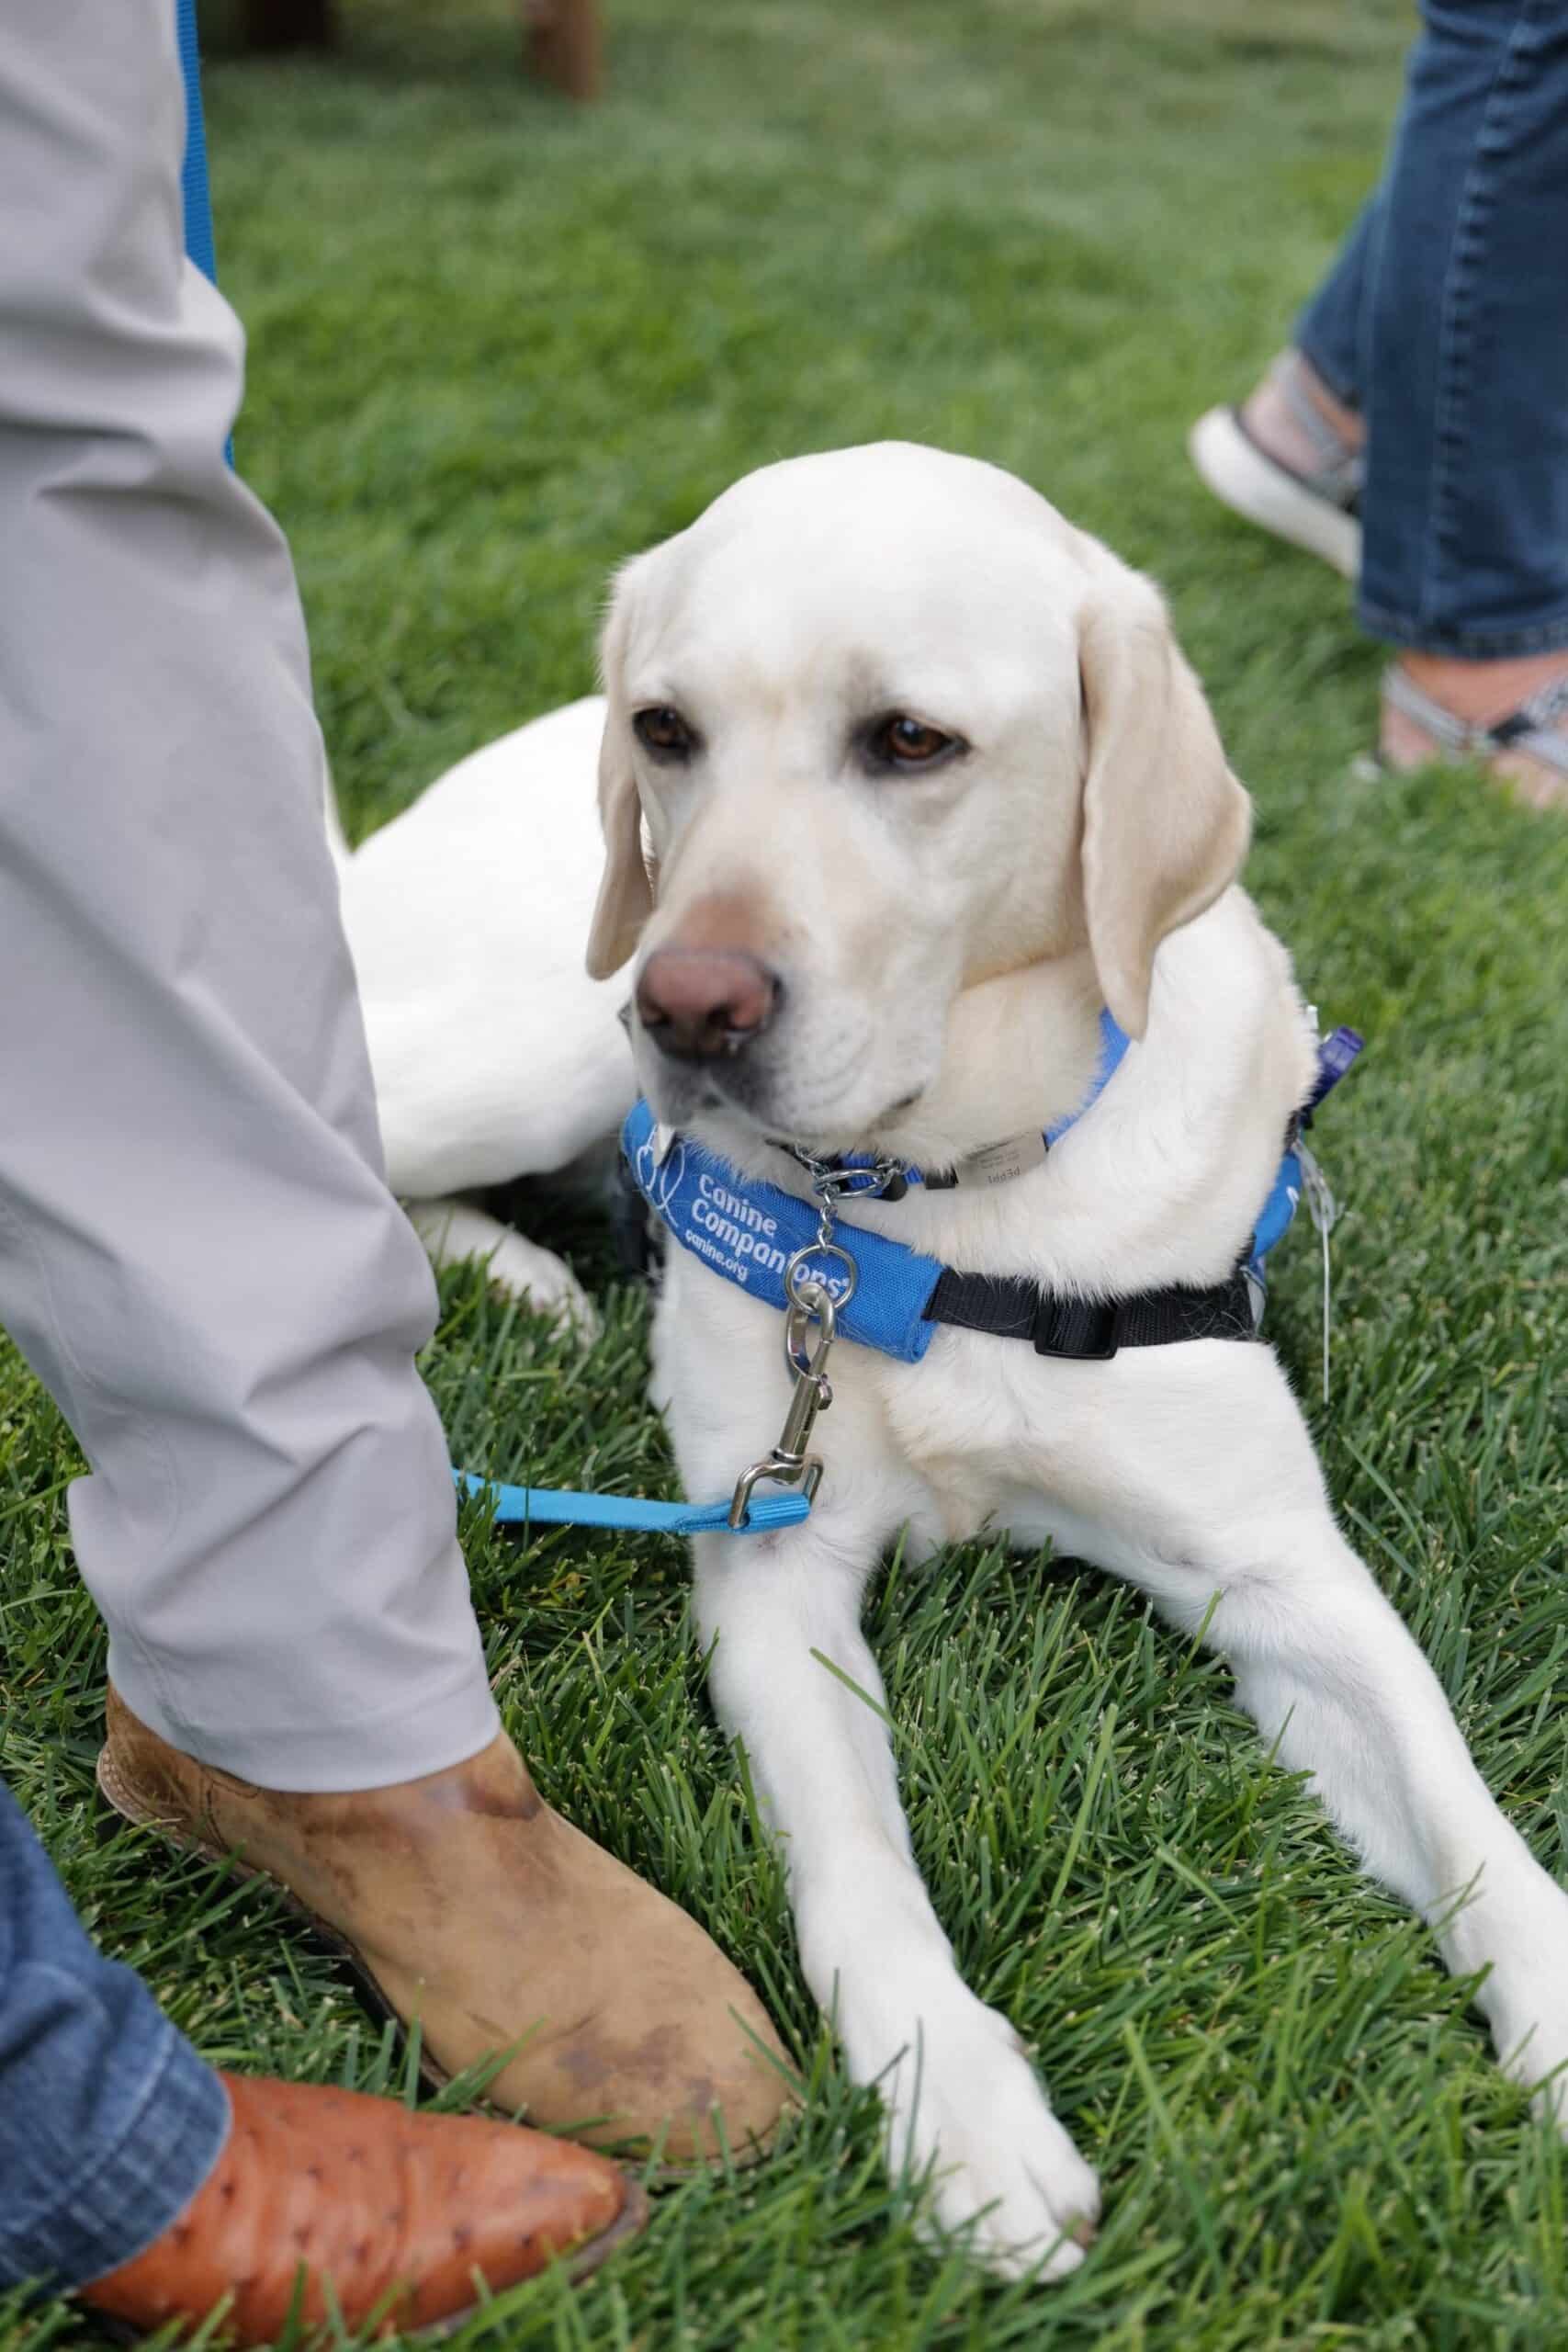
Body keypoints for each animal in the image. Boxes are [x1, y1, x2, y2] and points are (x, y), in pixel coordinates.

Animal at [338, 444, 1568, 2277]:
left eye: (909, 741)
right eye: (668, 730)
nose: (689, 1008)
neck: (940, 1204)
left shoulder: (1283, 1580)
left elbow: (1461, 1811)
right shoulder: (775, 1565)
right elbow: (858, 1858)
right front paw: (964, 2113)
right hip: (542, 1028)